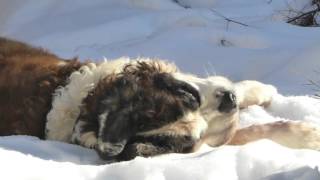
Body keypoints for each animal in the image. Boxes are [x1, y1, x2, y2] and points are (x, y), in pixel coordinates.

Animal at [0, 36, 320, 162]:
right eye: (190, 138)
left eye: (189, 95)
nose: (228, 101)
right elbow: (242, 134)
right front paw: (310, 136)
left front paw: (259, 90)